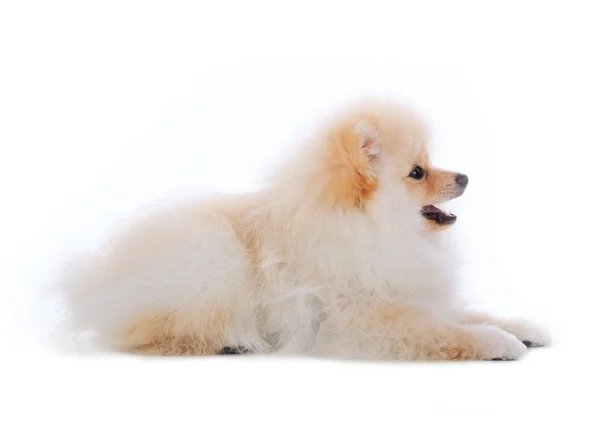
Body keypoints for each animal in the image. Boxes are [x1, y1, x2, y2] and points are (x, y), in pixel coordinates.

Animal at [57, 98, 552, 360]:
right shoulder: (360, 317)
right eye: (417, 172)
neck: (376, 230)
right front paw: (498, 342)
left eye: (430, 164)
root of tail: (99, 279)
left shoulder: (409, 290)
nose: (465, 177)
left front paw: (522, 326)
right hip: (211, 261)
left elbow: (464, 313)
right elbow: (445, 332)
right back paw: (227, 342)